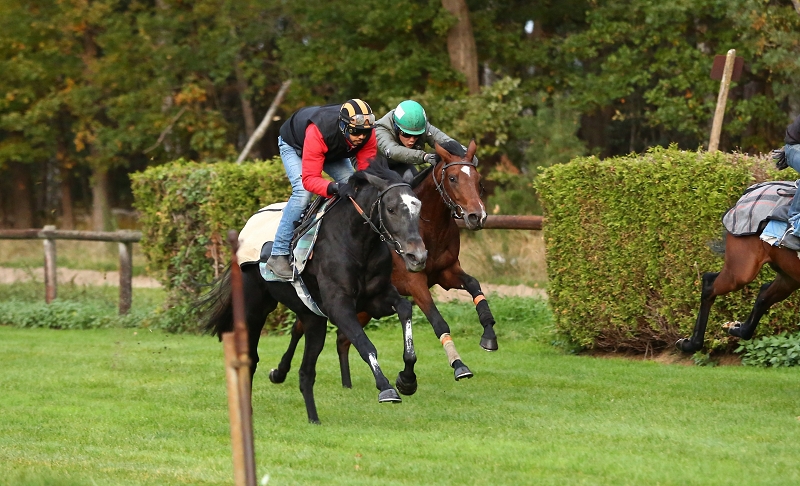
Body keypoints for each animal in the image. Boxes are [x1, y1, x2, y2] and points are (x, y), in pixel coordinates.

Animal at [199, 156, 428, 424]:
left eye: (418, 208)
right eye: (391, 208)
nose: (417, 256)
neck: (357, 242)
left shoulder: (376, 298)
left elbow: (405, 308)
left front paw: (407, 379)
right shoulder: (338, 305)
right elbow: (364, 343)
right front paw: (386, 388)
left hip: (312, 318)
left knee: (305, 369)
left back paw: (311, 415)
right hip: (253, 309)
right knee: (251, 358)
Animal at [269, 139, 495, 393]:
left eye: (477, 179)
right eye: (453, 178)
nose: (477, 216)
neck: (428, 228)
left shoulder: (446, 272)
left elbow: (474, 285)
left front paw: (489, 335)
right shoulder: (414, 281)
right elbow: (437, 320)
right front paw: (458, 365)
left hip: (364, 307)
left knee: (342, 339)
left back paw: (347, 383)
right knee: (299, 328)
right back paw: (279, 371)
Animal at [677, 185, 800, 353]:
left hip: (789, 276)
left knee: (764, 295)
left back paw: (737, 328)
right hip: (741, 271)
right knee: (709, 283)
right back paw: (691, 343)